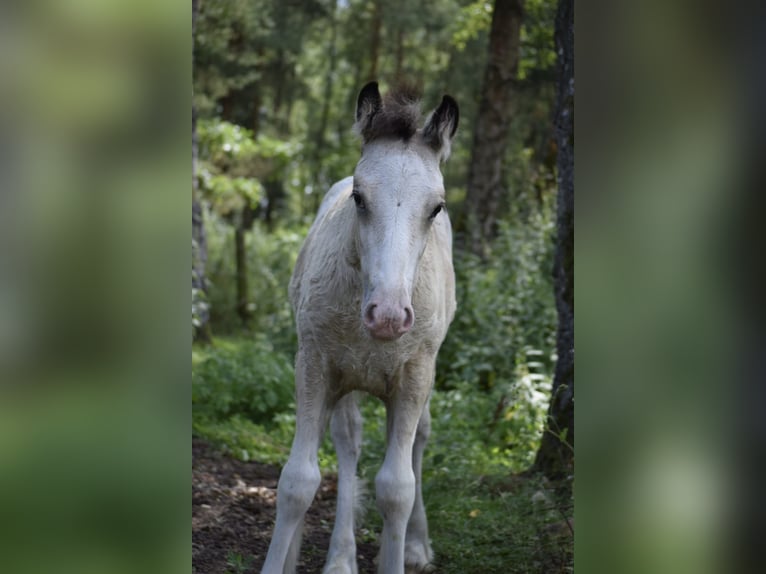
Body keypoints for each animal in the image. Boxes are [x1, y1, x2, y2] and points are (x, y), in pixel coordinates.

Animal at [260, 82, 460, 574]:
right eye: (359, 197)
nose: (387, 314)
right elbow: (297, 479)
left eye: (436, 207)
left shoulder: (415, 374)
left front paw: (400, 553)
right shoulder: (315, 363)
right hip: (345, 380)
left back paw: (415, 546)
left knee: (418, 442)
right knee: (347, 443)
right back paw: (339, 557)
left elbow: (398, 487)